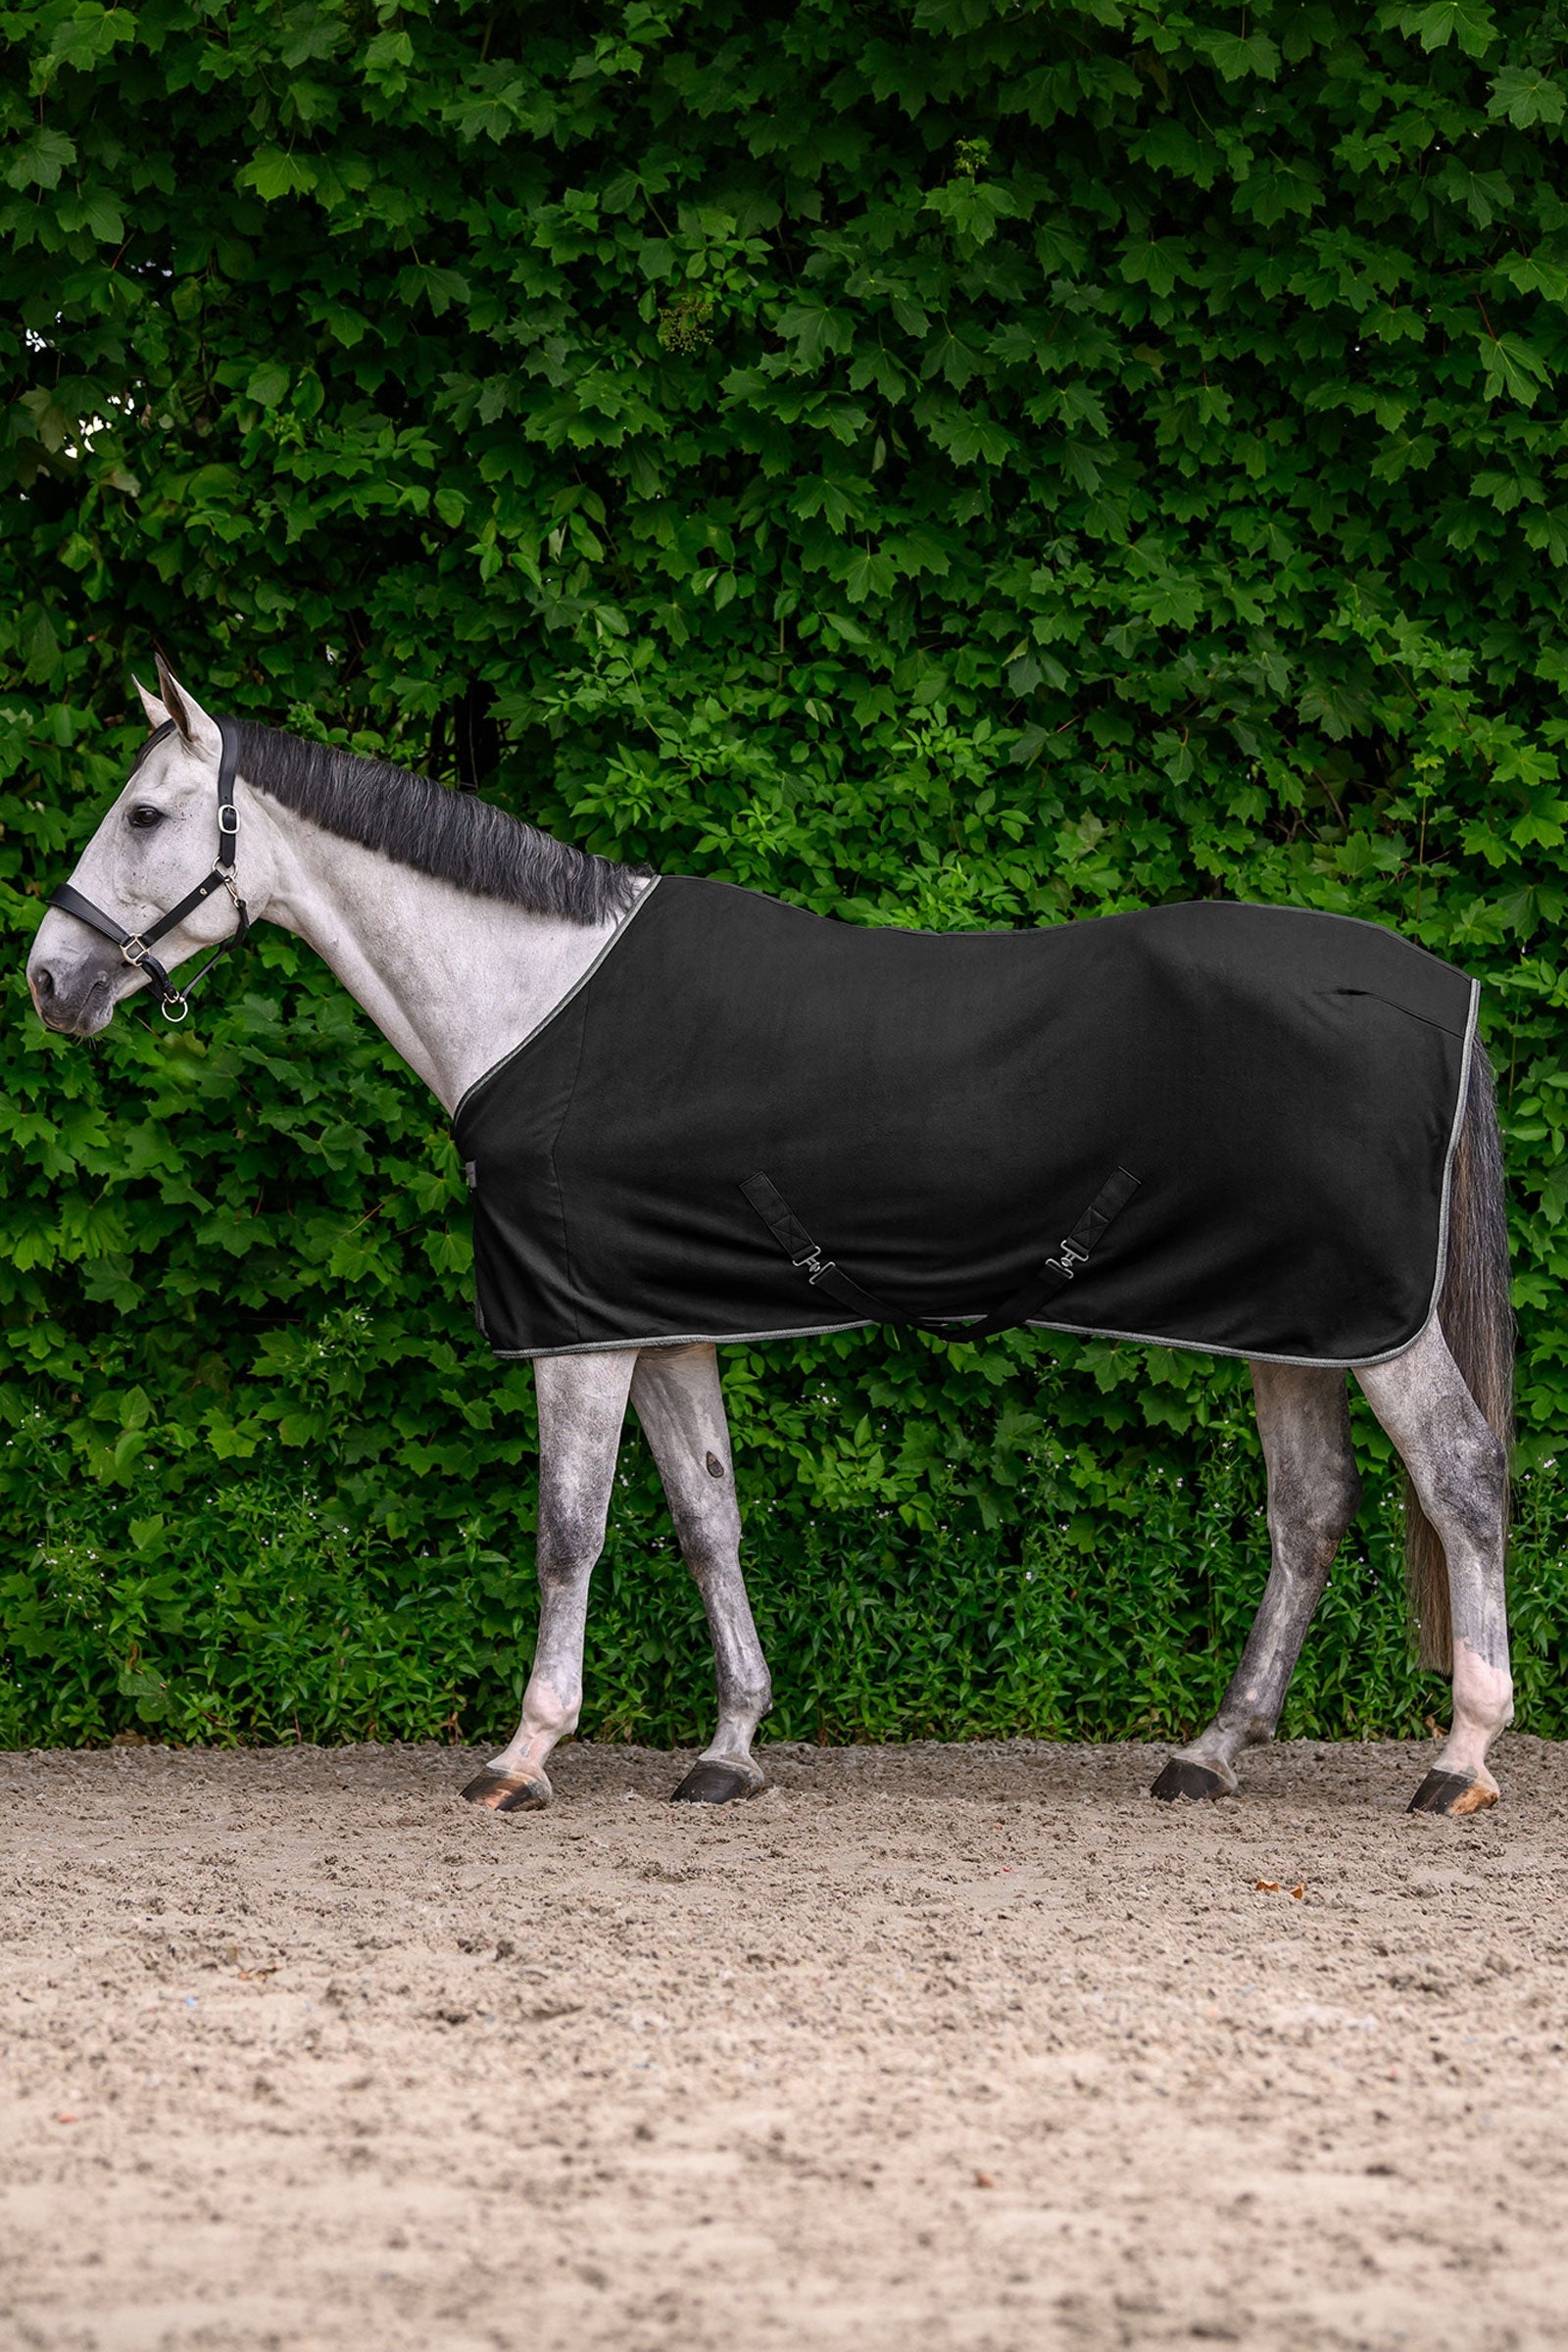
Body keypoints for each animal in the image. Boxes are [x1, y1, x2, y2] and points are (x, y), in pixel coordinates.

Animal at [25, 659, 1515, 1819]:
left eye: (145, 812)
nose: (51, 981)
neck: (534, 996)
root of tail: (1444, 987)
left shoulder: (577, 1335)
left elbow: (570, 1531)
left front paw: (523, 1756)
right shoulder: (659, 1317)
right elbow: (707, 1518)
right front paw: (731, 1748)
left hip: (1373, 1325)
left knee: (1460, 1474)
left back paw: (1460, 1758)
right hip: (1292, 1322)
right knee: (1309, 1513)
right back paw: (1210, 1753)